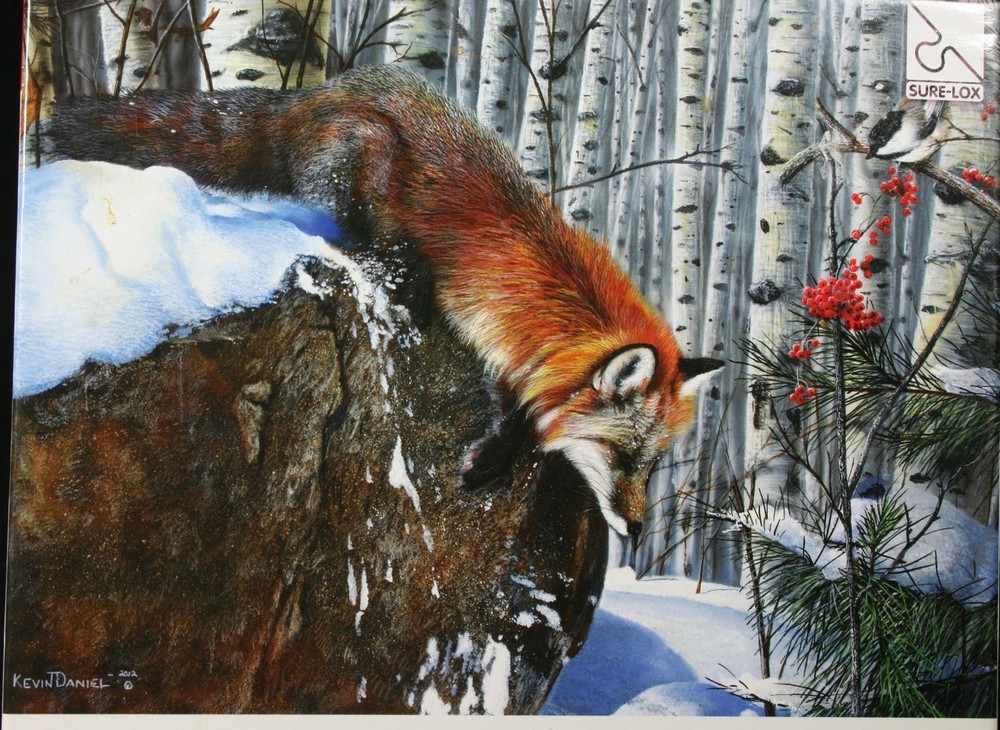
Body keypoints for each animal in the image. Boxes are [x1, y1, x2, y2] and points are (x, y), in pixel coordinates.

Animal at [45, 65, 722, 541]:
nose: (635, 528)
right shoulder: (486, 325)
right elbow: (513, 403)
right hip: (363, 153)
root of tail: (319, 91)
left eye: (653, 464)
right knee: (343, 222)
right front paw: (498, 451)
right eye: (623, 455)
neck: (554, 295)